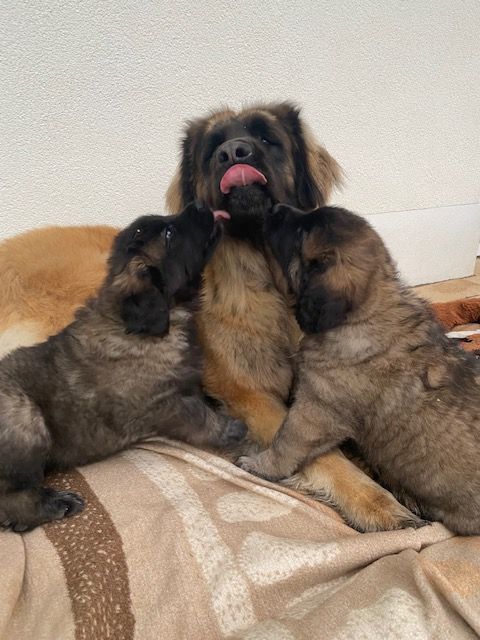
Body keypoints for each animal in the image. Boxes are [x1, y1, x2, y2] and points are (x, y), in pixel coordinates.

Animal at [0, 203, 246, 532]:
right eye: (170, 234)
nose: (201, 205)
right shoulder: (168, 405)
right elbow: (202, 419)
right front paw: (231, 429)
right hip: (26, 417)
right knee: (11, 495)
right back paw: (55, 504)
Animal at [238, 203, 480, 535]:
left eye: (299, 232)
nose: (275, 207)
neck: (366, 312)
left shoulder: (315, 411)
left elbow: (285, 444)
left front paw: (259, 464)